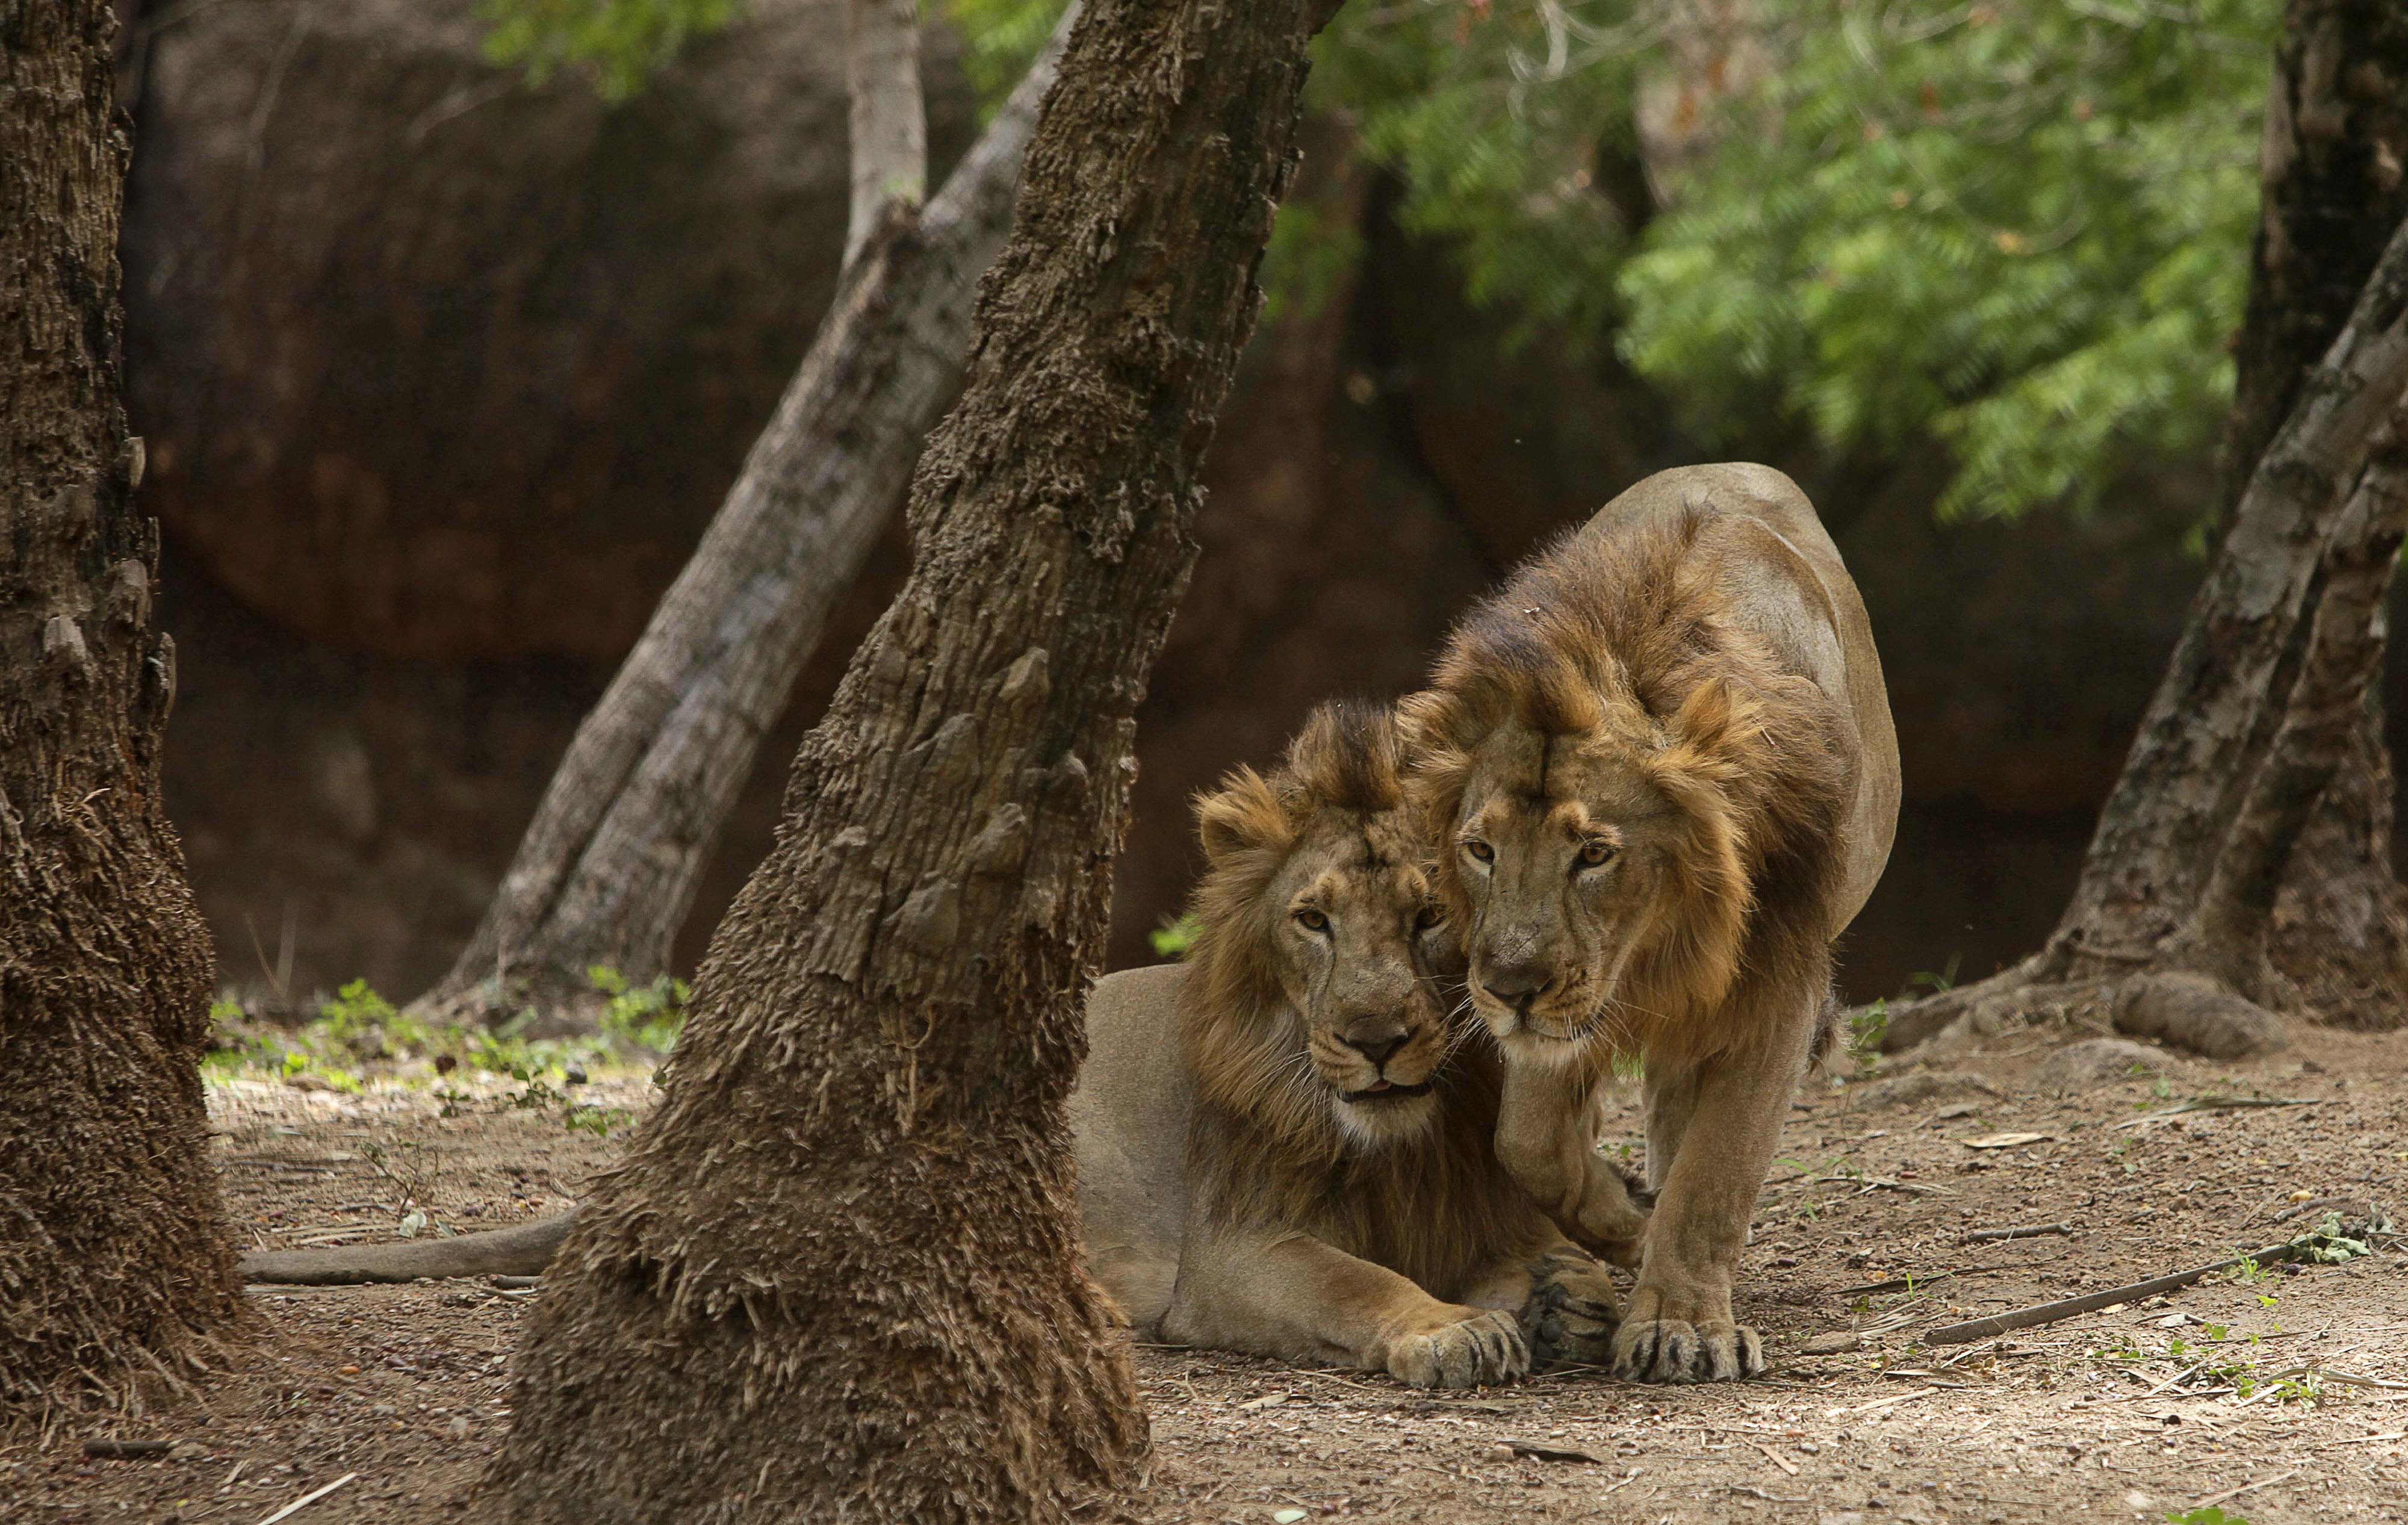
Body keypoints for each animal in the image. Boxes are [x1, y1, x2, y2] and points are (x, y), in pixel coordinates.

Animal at [1070, 699, 1624, 1388]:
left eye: (1431, 915)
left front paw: (1562, 1299)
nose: (1375, 1041)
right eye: (1314, 919)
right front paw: (1452, 1327)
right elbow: (1356, 1282)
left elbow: (1577, 1267)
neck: (1403, 1153)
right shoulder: (1232, 1249)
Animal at [1401, 463, 1899, 1384]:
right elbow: (1528, 1141)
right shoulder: (1566, 1013)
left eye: (1595, 853)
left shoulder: (1779, 983)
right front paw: (1627, 1220)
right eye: (1481, 849)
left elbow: (1717, 1171)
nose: (1509, 989)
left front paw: (1682, 1324)